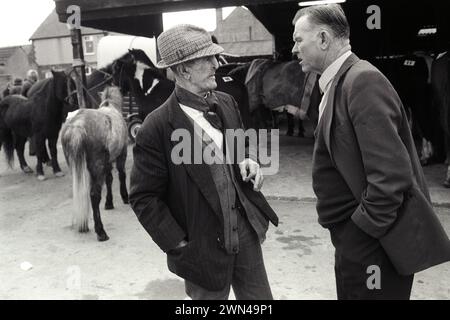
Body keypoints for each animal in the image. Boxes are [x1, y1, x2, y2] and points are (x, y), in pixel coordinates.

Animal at [60, 85, 129, 240]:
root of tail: (77, 126)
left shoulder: (107, 163)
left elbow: (109, 179)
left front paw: (109, 203)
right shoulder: (122, 154)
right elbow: (121, 175)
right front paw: (125, 197)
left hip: (77, 166)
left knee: (81, 192)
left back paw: (83, 224)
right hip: (97, 166)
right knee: (94, 195)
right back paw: (101, 231)